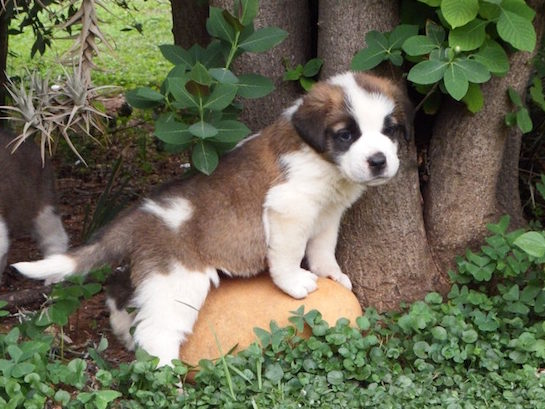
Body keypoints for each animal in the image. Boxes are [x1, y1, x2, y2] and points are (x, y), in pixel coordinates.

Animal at [12, 71, 410, 366]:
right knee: (157, 334)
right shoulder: (289, 208)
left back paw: (125, 333)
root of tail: (142, 213)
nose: (378, 161)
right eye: (346, 135)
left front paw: (331, 275)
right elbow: (289, 253)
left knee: (121, 296)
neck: (323, 158)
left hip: (150, 275)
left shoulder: (328, 213)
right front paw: (294, 283)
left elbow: (323, 247)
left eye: (389, 129)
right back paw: (167, 380)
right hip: (177, 283)